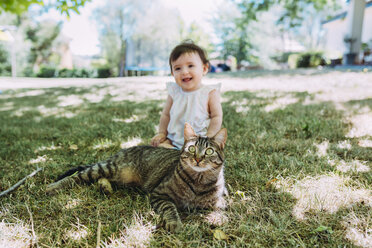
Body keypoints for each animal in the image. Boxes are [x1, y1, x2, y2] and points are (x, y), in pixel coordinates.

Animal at [46, 123, 227, 232]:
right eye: (191, 149)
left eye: (209, 151)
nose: (197, 159)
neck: (198, 181)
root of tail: (121, 151)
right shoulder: (159, 194)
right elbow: (170, 208)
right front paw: (175, 223)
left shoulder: (217, 203)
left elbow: (219, 211)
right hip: (108, 168)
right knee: (77, 177)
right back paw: (52, 187)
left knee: (100, 179)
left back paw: (105, 187)